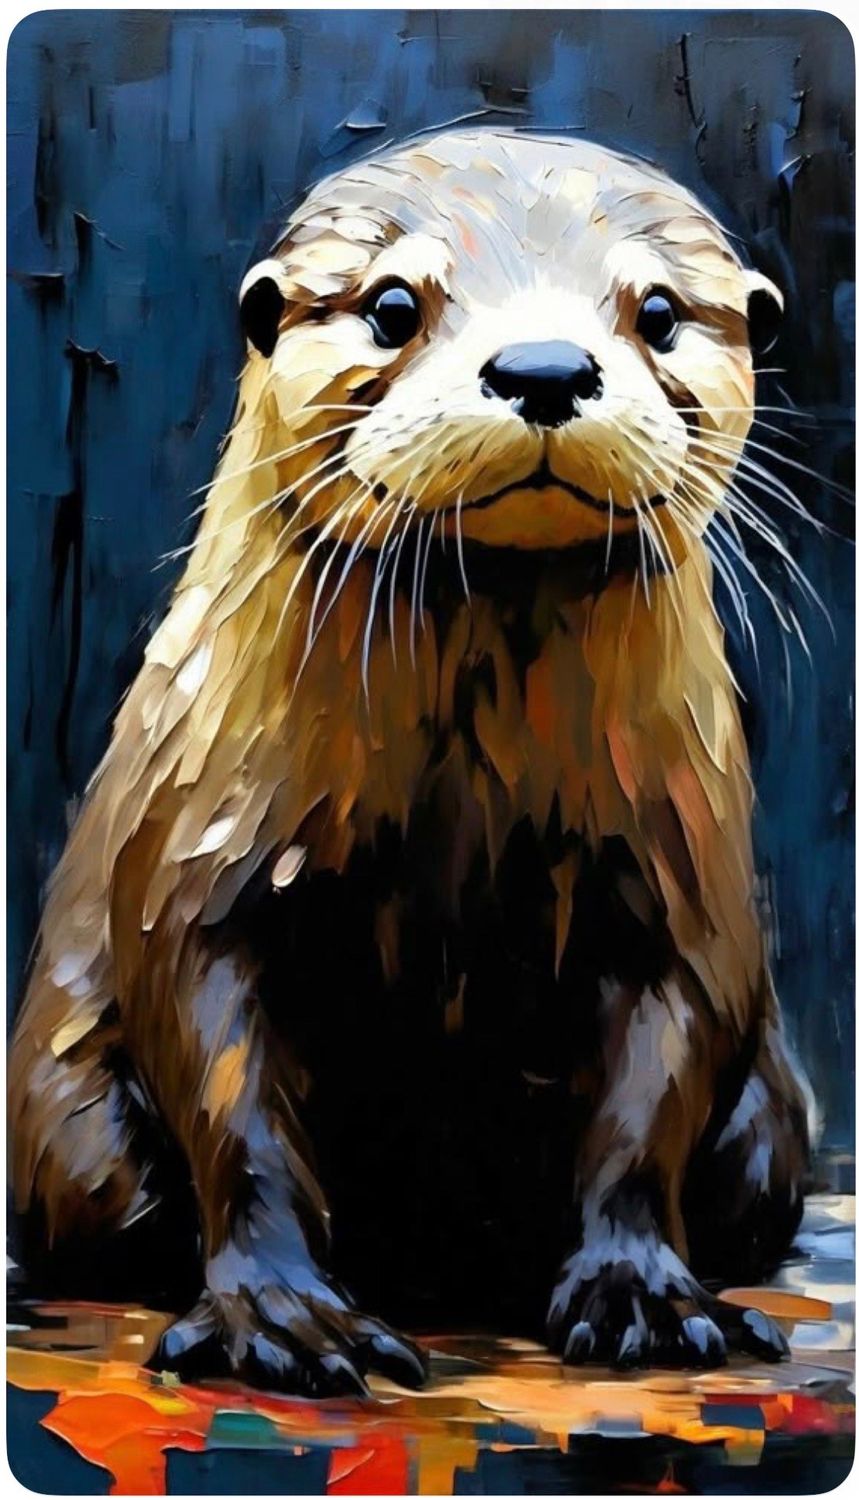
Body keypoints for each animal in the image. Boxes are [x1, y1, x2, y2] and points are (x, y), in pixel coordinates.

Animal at [10, 130, 813, 1390]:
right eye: (392, 306)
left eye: (660, 312)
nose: (543, 367)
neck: (464, 820)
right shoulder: (198, 851)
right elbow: (226, 1086)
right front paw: (283, 1316)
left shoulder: (683, 872)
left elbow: (654, 1092)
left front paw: (637, 1289)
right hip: (69, 1138)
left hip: (772, 1134)